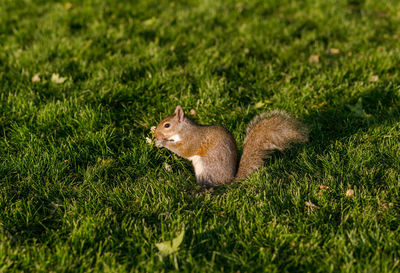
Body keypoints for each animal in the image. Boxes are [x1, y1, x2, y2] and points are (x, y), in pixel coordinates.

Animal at [153, 104, 310, 187]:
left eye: (167, 125)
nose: (155, 133)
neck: (183, 130)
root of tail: (229, 181)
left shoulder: (193, 140)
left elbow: (183, 150)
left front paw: (162, 142)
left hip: (206, 168)